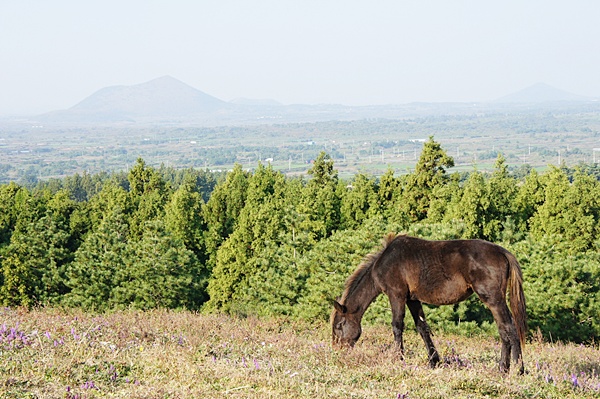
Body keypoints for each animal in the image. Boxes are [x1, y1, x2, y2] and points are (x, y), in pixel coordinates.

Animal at [330, 234, 528, 376]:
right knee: (506, 329)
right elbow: (422, 327)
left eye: (339, 325)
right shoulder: (412, 299)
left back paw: (515, 369)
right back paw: (508, 368)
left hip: (493, 299)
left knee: (508, 328)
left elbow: (397, 326)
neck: (385, 262)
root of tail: (503, 252)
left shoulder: (397, 295)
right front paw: (433, 361)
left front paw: (398, 358)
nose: (337, 350)